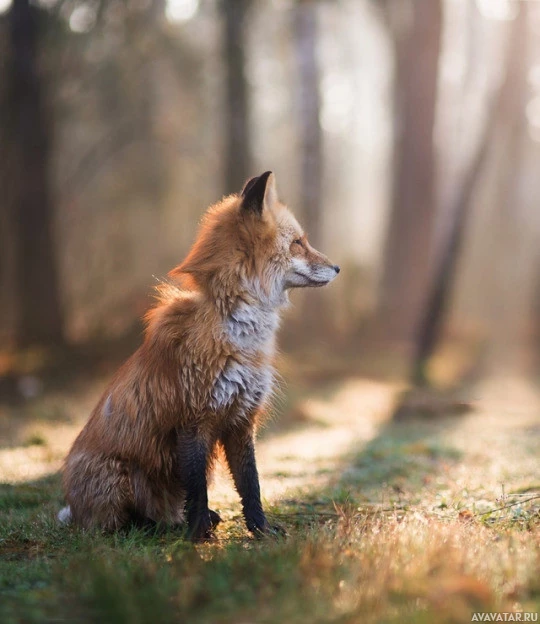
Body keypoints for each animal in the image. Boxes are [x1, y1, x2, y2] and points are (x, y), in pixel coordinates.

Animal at [58, 173, 338, 540]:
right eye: (297, 243)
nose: (338, 267)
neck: (239, 334)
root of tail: (75, 510)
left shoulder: (241, 419)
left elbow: (251, 485)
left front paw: (259, 529)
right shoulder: (193, 419)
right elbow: (197, 487)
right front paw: (198, 535)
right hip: (118, 479)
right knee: (122, 524)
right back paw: (159, 528)